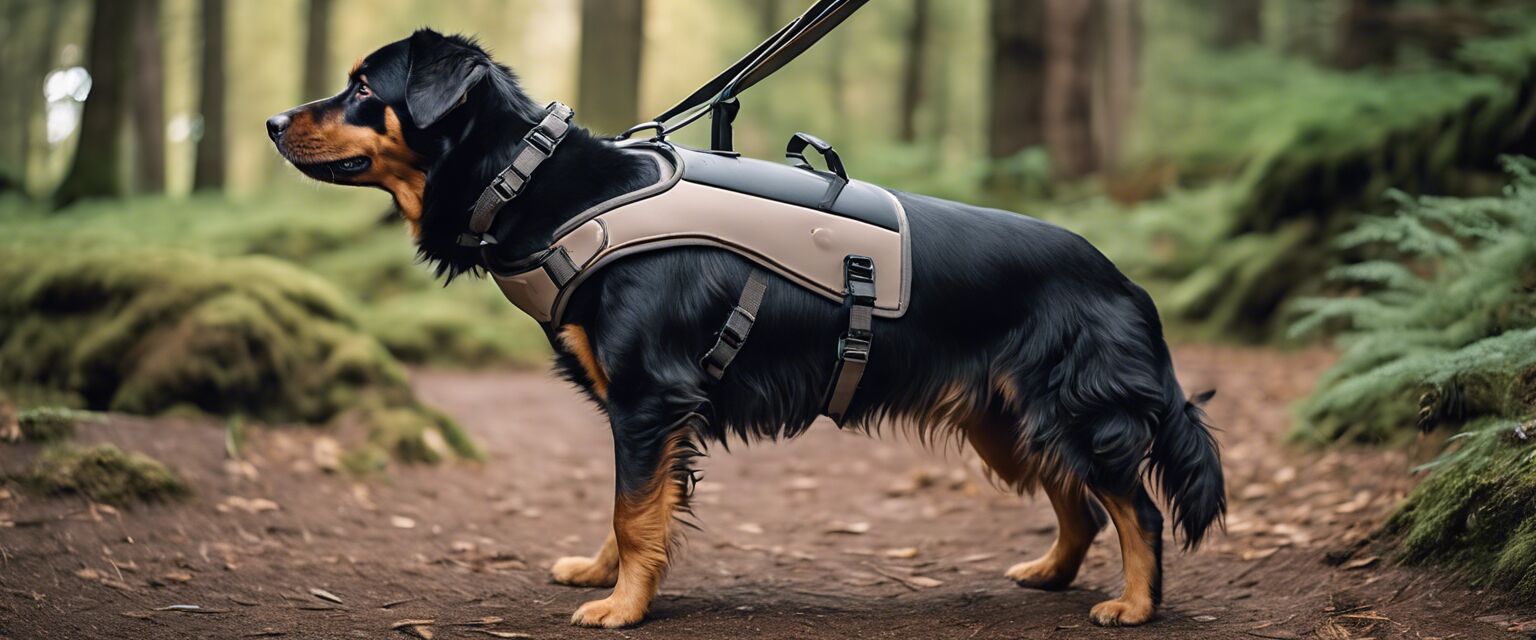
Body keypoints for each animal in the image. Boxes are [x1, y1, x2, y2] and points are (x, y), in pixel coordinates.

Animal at [267, 29, 1222, 629]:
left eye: (364, 88)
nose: (273, 121)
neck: (543, 185)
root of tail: (1124, 280)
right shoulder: (643, 414)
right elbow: (632, 508)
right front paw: (606, 576)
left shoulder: (649, 399)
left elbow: (634, 511)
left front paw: (622, 607)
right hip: (1010, 418)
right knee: (1081, 503)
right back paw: (1053, 573)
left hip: (1067, 410)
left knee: (1133, 506)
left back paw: (1135, 605)